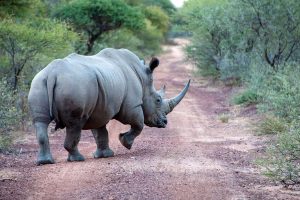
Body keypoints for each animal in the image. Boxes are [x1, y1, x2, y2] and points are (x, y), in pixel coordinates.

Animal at [27, 48, 189, 164]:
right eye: (158, 100)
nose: (165, 122)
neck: (143, 79)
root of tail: (52, 74)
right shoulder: (132, 106)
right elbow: (139, 124)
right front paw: (125, 143)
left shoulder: (99, 109)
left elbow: (100, 132)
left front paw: (105, 155)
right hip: (75, 86)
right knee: (75, 124)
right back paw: (78, 159)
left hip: (38, 83)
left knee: (40, 122)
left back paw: (45, 162)